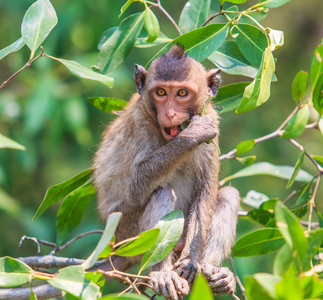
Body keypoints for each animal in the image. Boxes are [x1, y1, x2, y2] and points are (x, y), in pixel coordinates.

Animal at [93, 44, 240, 300]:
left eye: (182, 93)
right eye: (161, 92)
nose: (170, 113)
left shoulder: (212, 120)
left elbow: (206, 192)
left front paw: (192, 261)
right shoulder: (140, 123)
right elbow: (136, 187)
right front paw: (192, 135)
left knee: (227, 196)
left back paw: (212, 274)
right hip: (128, 234)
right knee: (160, 192)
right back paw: (162, 274)